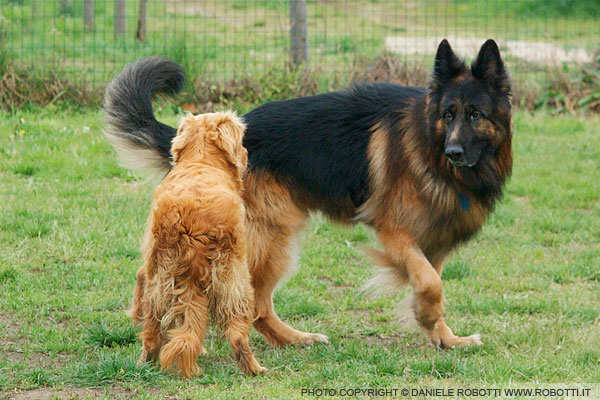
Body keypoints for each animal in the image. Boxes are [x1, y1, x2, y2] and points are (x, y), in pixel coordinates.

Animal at [105, 38, 512, 350]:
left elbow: (432, 284)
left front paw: (445, 336)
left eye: (475, 115)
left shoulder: (433, 243)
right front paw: (428, 319)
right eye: (448, 113)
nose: (453, 152)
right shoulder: (394, 233)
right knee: (255, 304)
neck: (427, 147)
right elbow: (430, 283)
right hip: (271, 239)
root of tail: (204, 145)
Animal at [123, 111, 265, 377]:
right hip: (236, 283)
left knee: (153, 334)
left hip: (160, 286)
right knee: (237, 334)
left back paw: (144, 364)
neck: (202, 162)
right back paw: (254, 368)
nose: (246, 155)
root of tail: (190, 229)